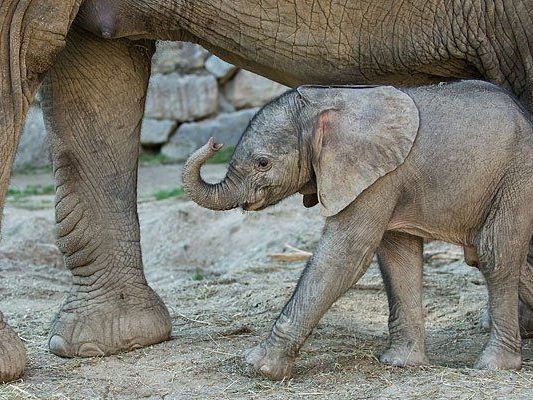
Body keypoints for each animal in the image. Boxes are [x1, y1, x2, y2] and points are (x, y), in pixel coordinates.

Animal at [182, 80, 532, 378]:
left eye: (263, 163)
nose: (214, 142)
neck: (324, 101)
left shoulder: (377, 177)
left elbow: (344, 254)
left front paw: (258, 367)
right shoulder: (384, 177)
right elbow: (398, 258)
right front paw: (400, 363)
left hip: (516, 178)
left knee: (494, 256)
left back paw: (493, 367)